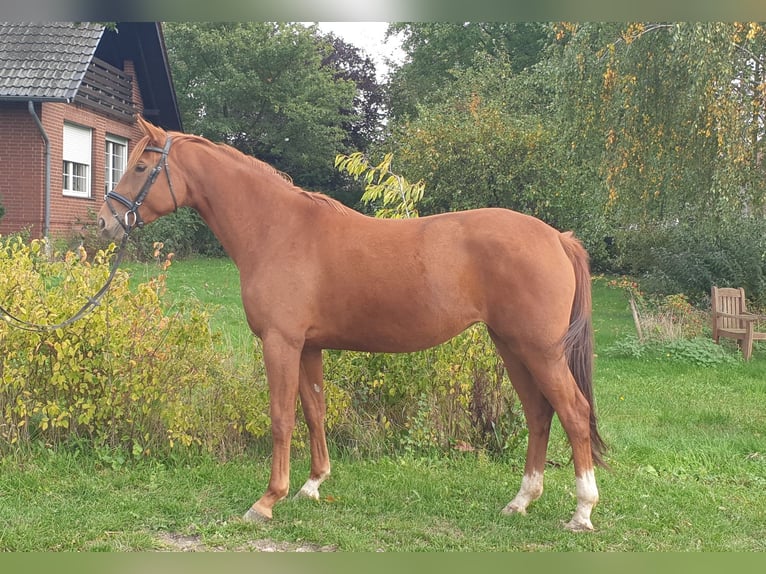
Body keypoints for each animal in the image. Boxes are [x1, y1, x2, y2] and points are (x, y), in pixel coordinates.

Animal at [99, 118, 608, 536]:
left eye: (141, 166)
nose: (106, 222)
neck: (277, 229)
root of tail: (557, 238)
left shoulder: (281, 343)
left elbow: (282, 418)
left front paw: (267, 501)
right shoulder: (308, 347)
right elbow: (314, 411)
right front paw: (312, 485)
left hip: (540, 350)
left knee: (574, 412)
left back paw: (582, 512)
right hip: (511, 346)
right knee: (540, 414)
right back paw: (521, 501)